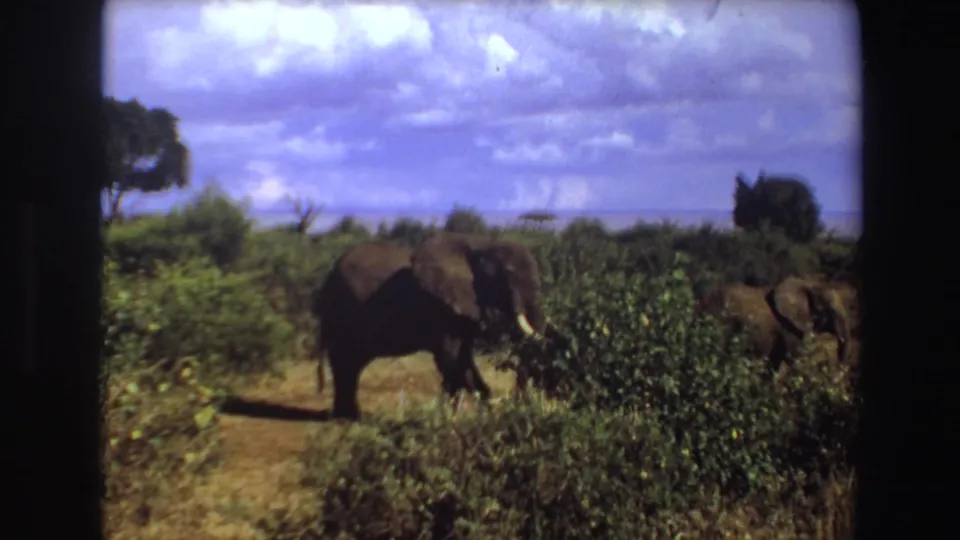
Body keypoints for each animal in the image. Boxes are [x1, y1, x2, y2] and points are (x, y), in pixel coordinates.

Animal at [311, 233, 548, 420]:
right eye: (508, 272)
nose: (519, 401)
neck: (481, 244)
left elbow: (464, 358)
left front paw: (480, 409)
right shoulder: (441, 308)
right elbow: (450, 358)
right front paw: (450, 415)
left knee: (352, 364)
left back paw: (350, 415)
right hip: (342, 312)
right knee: (345, 360)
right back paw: (346, 417)